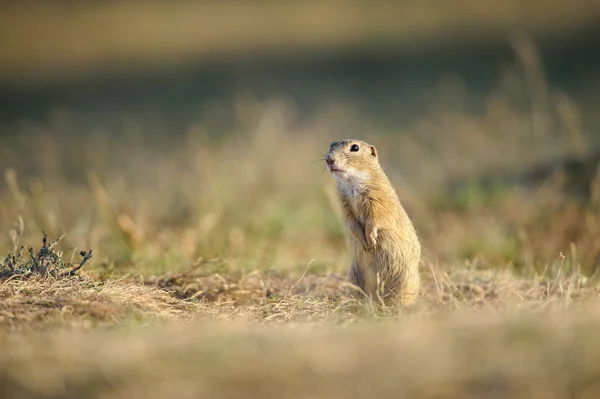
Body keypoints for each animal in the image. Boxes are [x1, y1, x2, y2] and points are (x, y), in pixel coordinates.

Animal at [326, 139, 420, 308]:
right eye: (331, 145)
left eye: (354, 147)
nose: (329, 159)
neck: (352, 182)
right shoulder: (344, 205)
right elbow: (352, 224)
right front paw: (365, 243)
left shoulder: (377, 198)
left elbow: (375, 219)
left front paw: (371, 241)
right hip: (355, 279)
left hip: (405, 281)